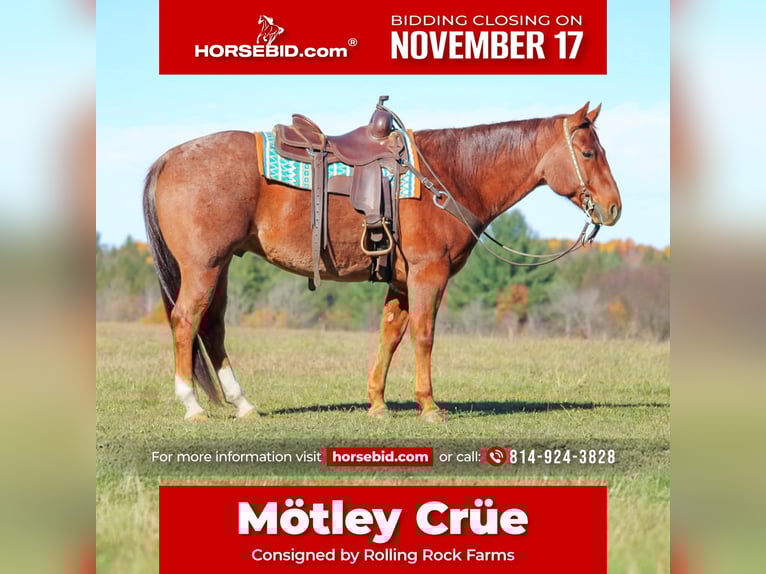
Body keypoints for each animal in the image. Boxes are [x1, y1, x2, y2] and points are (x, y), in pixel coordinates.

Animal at [142, 102, 621, 422]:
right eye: (589, 153)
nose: (613, 208)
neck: (450, 175)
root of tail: (169, 157)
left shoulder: (402, 282)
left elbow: (390, 336)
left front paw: (377, 403)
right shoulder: (429, 275)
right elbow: (424, 337)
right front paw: (429, 406)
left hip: (220, 267)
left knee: (212, 328)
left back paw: (243, 405)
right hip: (204, 267)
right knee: (186, 321)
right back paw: (191, 405)